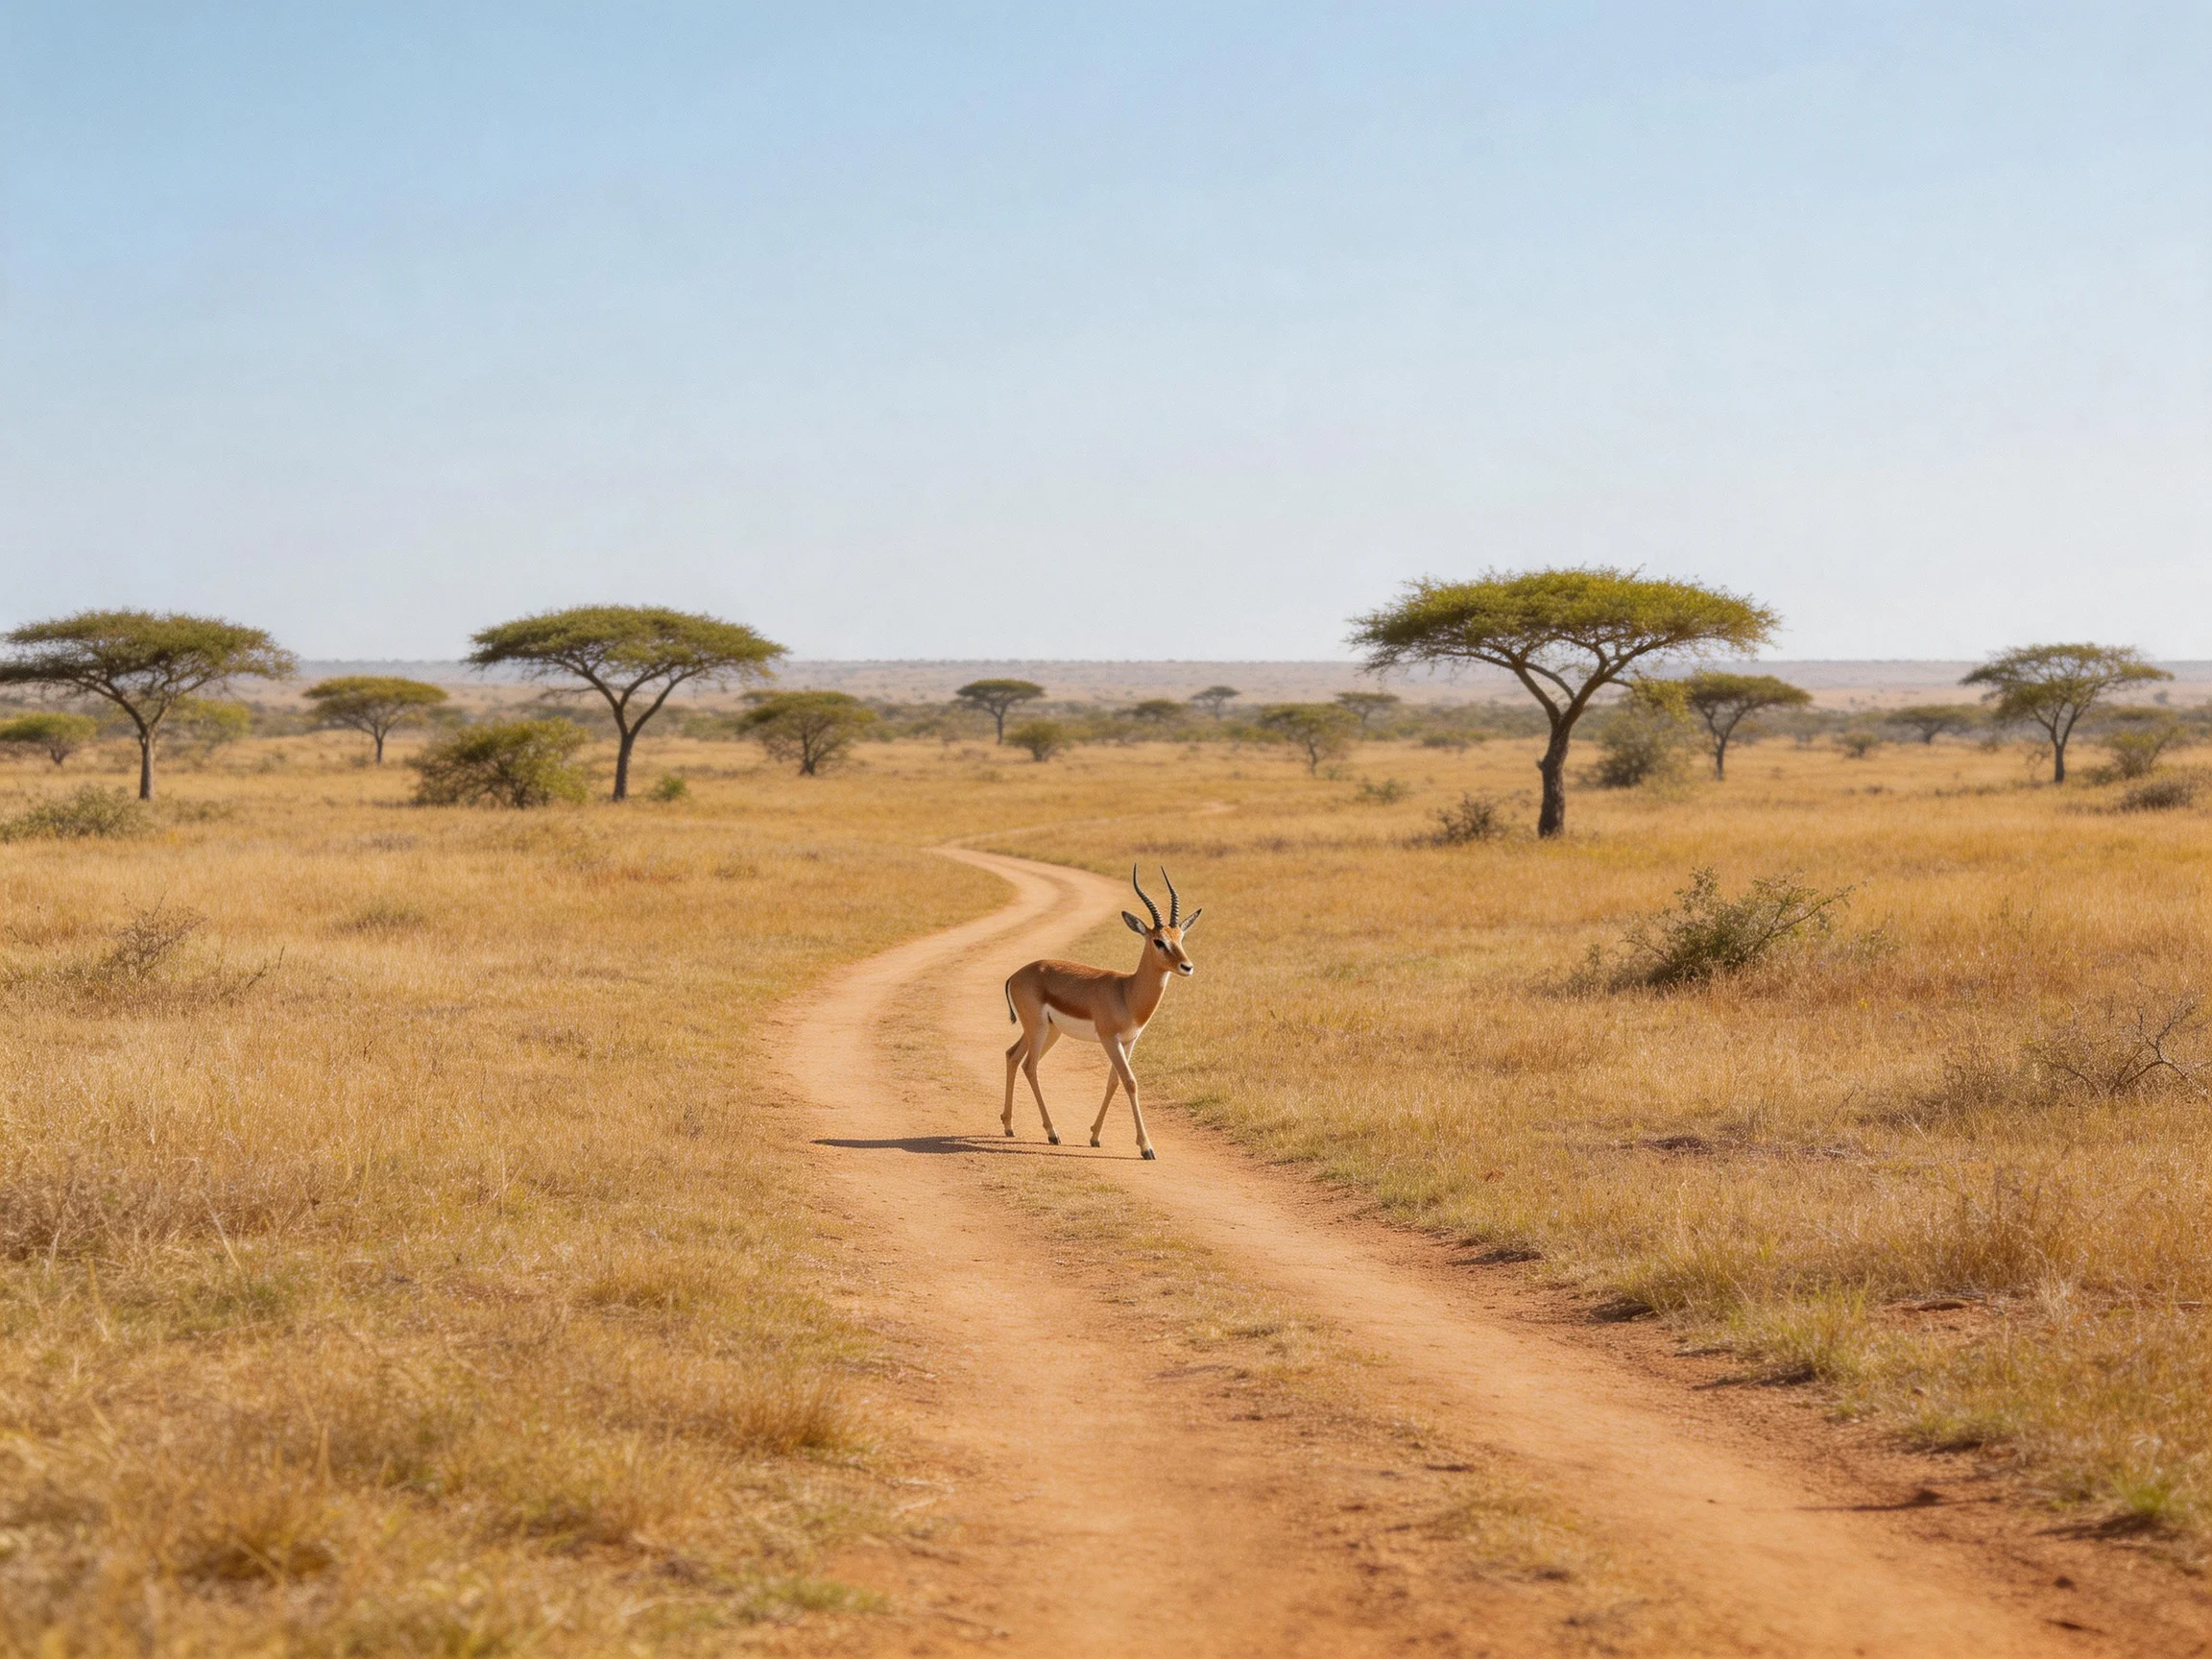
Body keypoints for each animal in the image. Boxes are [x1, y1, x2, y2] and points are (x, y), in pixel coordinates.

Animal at [1002, 866, 1202, 1160]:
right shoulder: (1109, 1040)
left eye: (1180, 938)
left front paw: (1095, 1136)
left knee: (1012, 1056)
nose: (1186, 966)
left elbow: (1114, 1082)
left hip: (1047, 1031)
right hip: (1038, 1029)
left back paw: (1008, 1126)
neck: (1126, 993)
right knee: (1030, 1065)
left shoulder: (1129, 1041)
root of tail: (1015, 975)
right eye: (1158, 941)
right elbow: (1130, 1081)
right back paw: (1052, 1133)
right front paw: (1146, 1147)